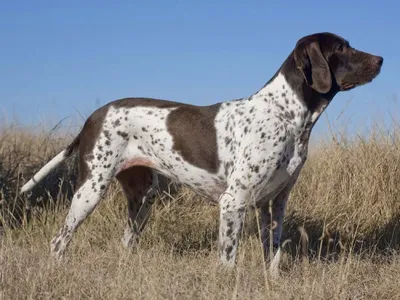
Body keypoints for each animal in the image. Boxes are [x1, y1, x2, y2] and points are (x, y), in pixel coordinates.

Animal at [20, 32, 382, 274]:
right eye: (342, 47)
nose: (380, 60)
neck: (285, 114)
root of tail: (94, 116)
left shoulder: (273, 203)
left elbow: (274, 255)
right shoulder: (233, 202)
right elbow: (228, 258)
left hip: (143, 197)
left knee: (126, 241)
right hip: (91, 189)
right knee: (59, 241)